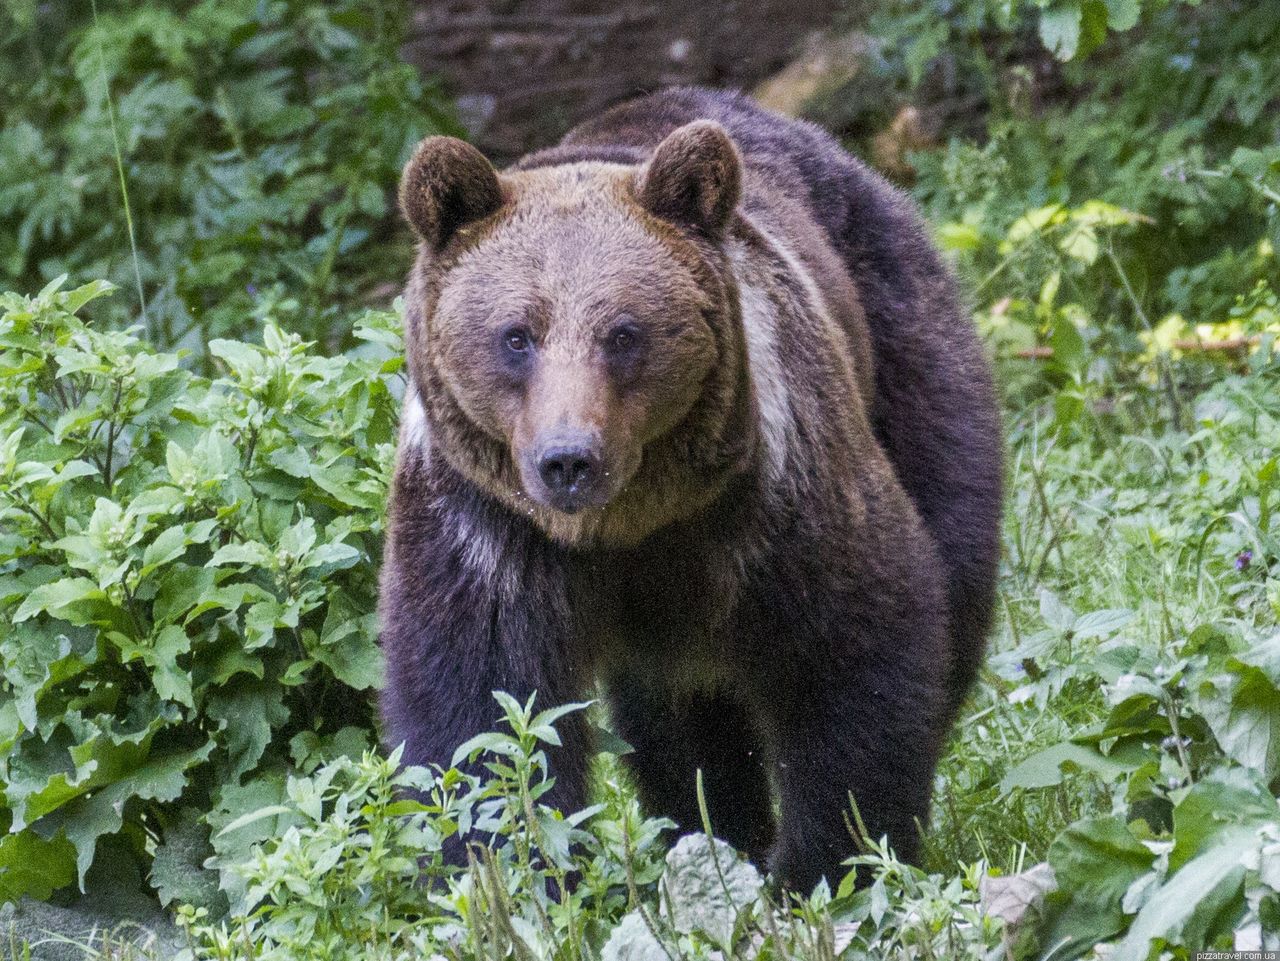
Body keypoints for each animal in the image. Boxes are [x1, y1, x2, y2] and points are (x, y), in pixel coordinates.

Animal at [376, 86, 998, 890]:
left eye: (623, 332)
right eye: (516, 335)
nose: (568, 459)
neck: (633, 524)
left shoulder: (774, 494)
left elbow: (854, 648)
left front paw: (826, 863)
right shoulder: (483, 523)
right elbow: (481, 710)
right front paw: (514, 869)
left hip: (904, 342)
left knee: (955, 565)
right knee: (677, 721)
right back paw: (707, 823)